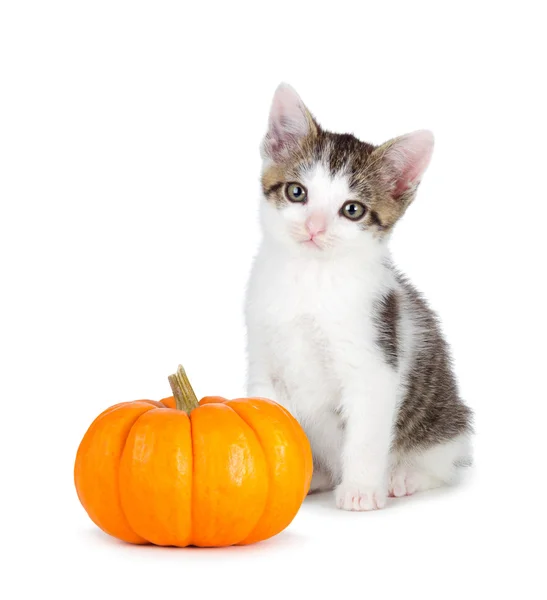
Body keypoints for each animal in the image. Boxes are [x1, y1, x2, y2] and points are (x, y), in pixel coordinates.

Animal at [246, 83, 474, 510]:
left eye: (352, 210)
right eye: (297, 192)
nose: (315, 227)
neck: (311, 280)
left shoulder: (373, 361)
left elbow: (366, 434)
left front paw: (361, 491)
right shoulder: (264, 363)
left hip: (444, 425)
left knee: (442, 461)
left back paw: (402, 476)